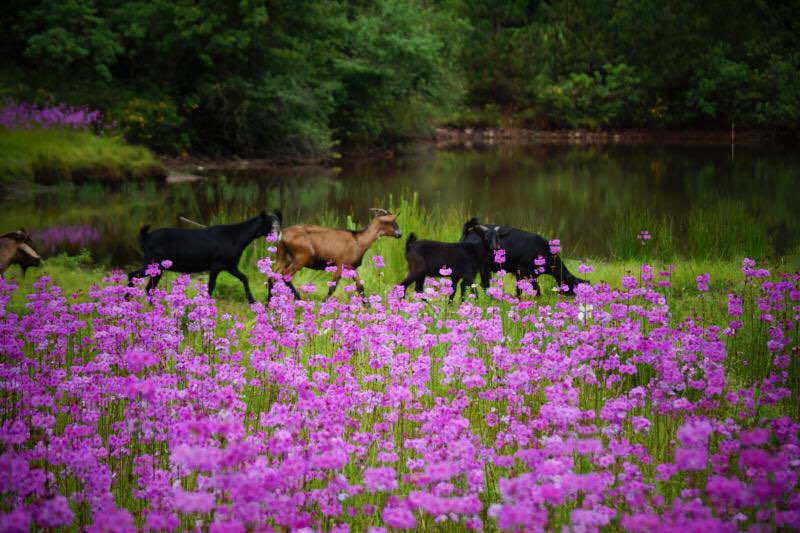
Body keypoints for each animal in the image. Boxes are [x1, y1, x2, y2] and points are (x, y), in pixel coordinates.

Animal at [128, 209, 282, 302]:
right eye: (270, 225)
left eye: (279, 224)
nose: (278, 237)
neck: (236, 237)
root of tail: (146, 236)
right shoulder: (217, 264)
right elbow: (211, 285)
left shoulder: (230, 265)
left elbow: (244, 278)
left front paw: (252, 301)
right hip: (154, 264)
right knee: (137, 278)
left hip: (155, 266)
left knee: (146, 285)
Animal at [272, 208, 404, 300]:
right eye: (392, 222)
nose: (400, 234)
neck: (358, 240)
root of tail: (282, 234)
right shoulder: (340, 265)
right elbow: (332, 287)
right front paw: (324, 303)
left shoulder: (351, 267)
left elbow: (360, 287)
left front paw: (368, 306)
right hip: (301, 258)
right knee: (285, 276)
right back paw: (299, 298)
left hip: (283, 258)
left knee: (273, 276)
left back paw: (270, 303)